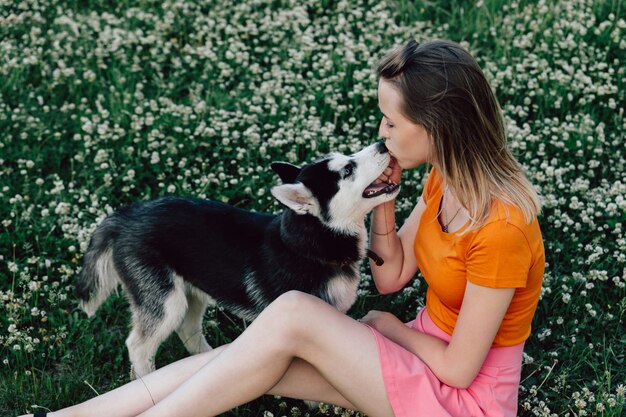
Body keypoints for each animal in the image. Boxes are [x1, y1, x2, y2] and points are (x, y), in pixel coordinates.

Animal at [77, 141, 400, 376]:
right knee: (138, 346)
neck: (311, 247)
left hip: (192, 293)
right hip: (165, 300)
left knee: (188, 330)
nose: (383, 143)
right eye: (347, 169)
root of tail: (125, 216)